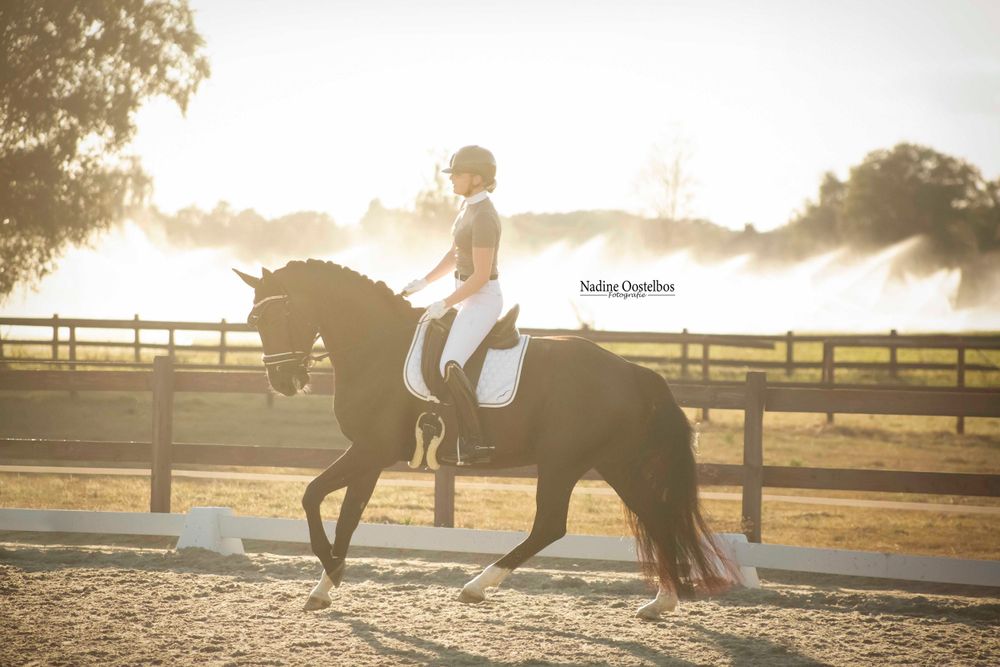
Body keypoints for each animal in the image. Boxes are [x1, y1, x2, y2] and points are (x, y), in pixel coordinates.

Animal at [234, 259, 733, 619]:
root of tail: (634, 372)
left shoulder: (370, 450)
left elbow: (319, 500)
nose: (284, 381)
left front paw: (329, 571)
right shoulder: (370, 455)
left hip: (563, 461)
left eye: (281, 313)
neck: (375, 345)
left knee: (551, 525)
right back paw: (661, 601)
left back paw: (476, 586)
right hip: (615, 462)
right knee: (654, 514)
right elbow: (339, 511)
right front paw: (325, 584)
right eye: (254, 318)